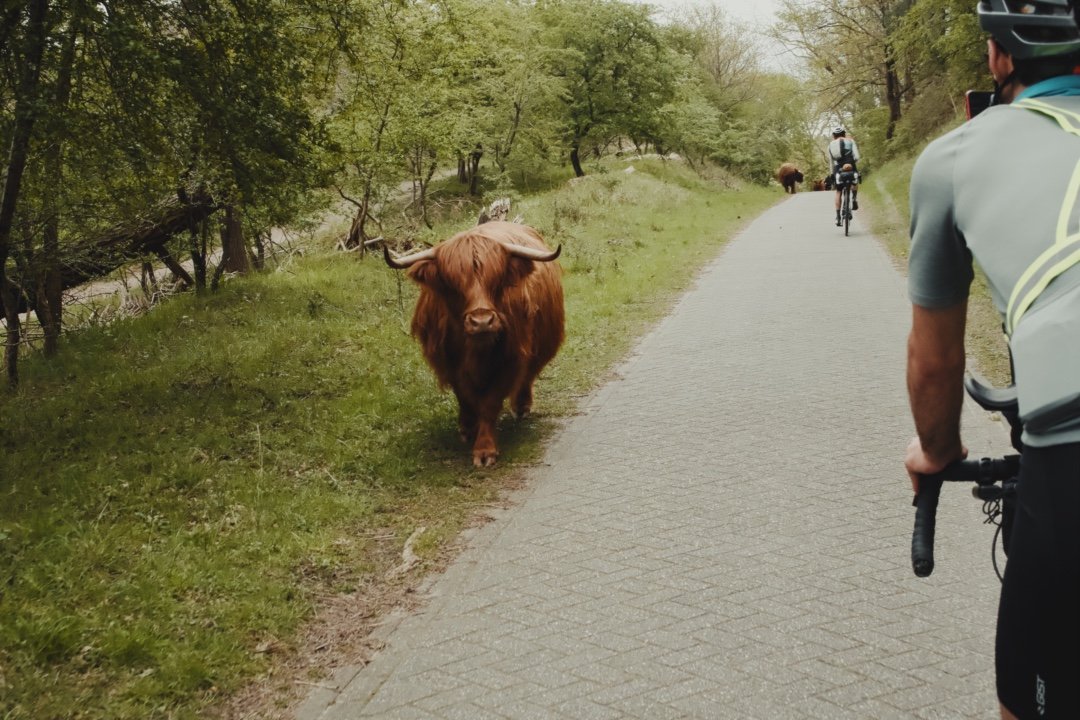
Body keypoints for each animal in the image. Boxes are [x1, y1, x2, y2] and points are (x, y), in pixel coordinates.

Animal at [382, 221, 565, 468]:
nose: (482, 321)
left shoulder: (510, 361)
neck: (475, 349)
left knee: (527, 377)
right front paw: (468, 427)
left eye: (496, 280)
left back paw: (522, 407)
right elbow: (465, 397)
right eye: (452, 285)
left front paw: (485, 450)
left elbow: (489, 404)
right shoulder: (449, 364)